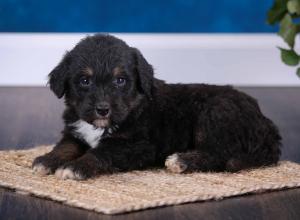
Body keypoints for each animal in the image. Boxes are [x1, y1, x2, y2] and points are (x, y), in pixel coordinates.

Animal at [32, 33, 282, 180]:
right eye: (85, 81)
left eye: (120, 80)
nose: (103, 109)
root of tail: (267, 124)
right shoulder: (74, 132)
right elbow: (64, 147)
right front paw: (47, 160)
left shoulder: (137, 145)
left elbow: (100, 152)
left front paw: (76, 167)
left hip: (215, 113)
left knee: (221, 154)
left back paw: (181, 161)